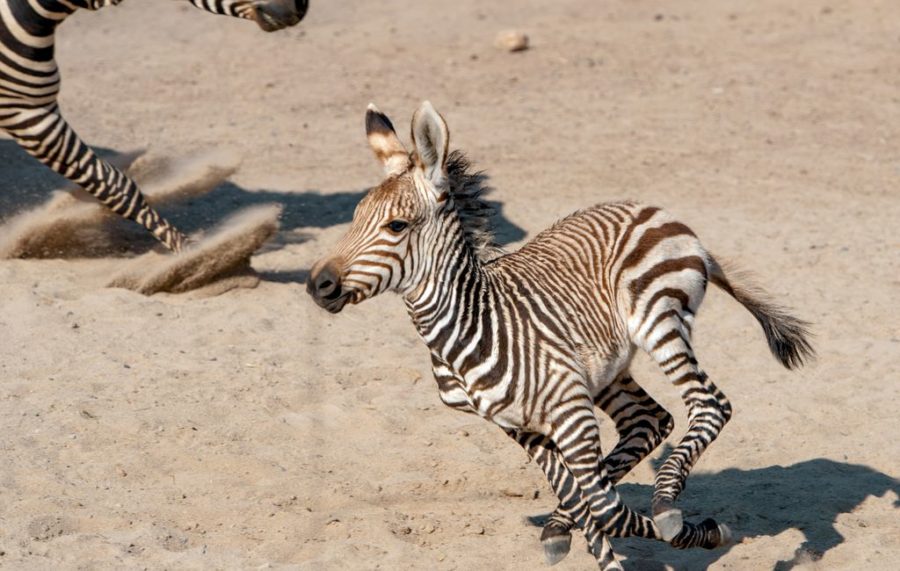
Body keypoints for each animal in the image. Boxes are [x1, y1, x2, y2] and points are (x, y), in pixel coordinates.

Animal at [0, 0, 308, 252]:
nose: (300, 7)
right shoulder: (26, 111)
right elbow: (113, 185)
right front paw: (193, 255)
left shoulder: (37, 105)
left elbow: (112, 183)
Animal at [308, 101, 816, 568]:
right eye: (353, 218)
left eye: (396, 226)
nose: (318, 285)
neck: (471, 326)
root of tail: (653, 211)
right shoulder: (519, 425)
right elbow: (581, 498)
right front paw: (568, 531)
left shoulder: (572, 413)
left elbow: (605, 508)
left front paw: (703, 531)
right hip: (607, 367)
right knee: (649, 421)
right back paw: (566, 521)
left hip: (659, 321)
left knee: (710, 405)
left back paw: (669, 505)